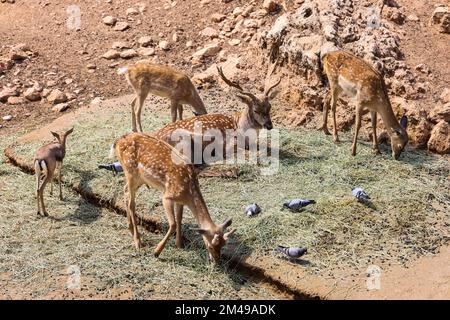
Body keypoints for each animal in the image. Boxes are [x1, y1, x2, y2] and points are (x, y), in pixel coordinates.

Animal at [111, 132, 236, 262]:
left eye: (222, 245)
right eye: (211, 245)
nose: (216, 261)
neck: (188, 192)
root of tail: (118, 141)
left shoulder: (180, 201)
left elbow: (179, 218)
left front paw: (179, 244)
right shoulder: (167, 196)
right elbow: (173, 223)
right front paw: (157, 252)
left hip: (139, 179)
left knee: (125, 190)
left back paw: (130, 228)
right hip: (130, 172)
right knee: (131, 203)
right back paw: (138, 241)